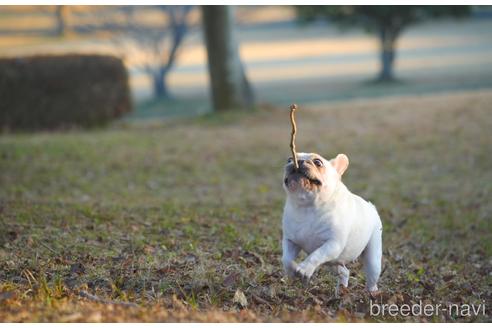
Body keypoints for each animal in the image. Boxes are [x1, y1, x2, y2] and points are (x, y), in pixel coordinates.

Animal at [282, 153, 382, 294]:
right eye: (289, 160)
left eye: (318, 162)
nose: (298, 161)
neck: (308, 207)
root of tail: (371, 207)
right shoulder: (290, 241)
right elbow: (285, 259)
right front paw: (291, 268)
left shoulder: (333, 244)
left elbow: (316, 255)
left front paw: (304, 268)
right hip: (333, 262)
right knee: (344, 272)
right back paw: (341, 291)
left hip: (372, 258)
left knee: (372, 276)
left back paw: (372, 293)